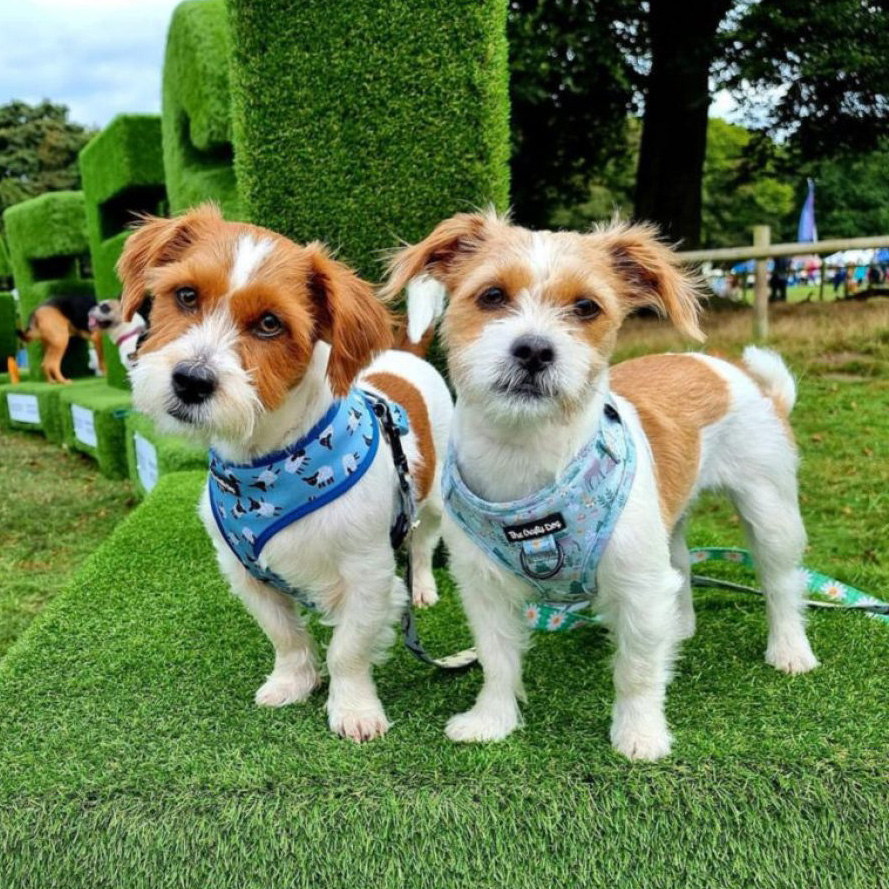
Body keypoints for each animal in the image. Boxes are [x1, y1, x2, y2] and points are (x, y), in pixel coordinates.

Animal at [116, 206, 450, 744]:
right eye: (186, 295)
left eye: (270, 323)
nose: (191, 380)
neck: (269, 463)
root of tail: (403, 355)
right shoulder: (244, 572)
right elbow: (285, 635)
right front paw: (293, 681)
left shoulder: (368, 576)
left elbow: (348, 649)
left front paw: (353, 708)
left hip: (434, 497)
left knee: (421, 543)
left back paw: (423, 586)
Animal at [384, 212, 820, 760]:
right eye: (491, 295)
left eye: (587, 307)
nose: (534, 349)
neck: (526, 458)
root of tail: (734, 371)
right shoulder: (484, 588)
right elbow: (497, 658)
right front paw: (493, 719)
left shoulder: (638, 585)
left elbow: (636, 669)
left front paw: (639, 733)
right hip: (667, 523)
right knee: (680, 567)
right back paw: (680, 627)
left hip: (769, 507)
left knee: (781, 581)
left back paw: (789, 648)